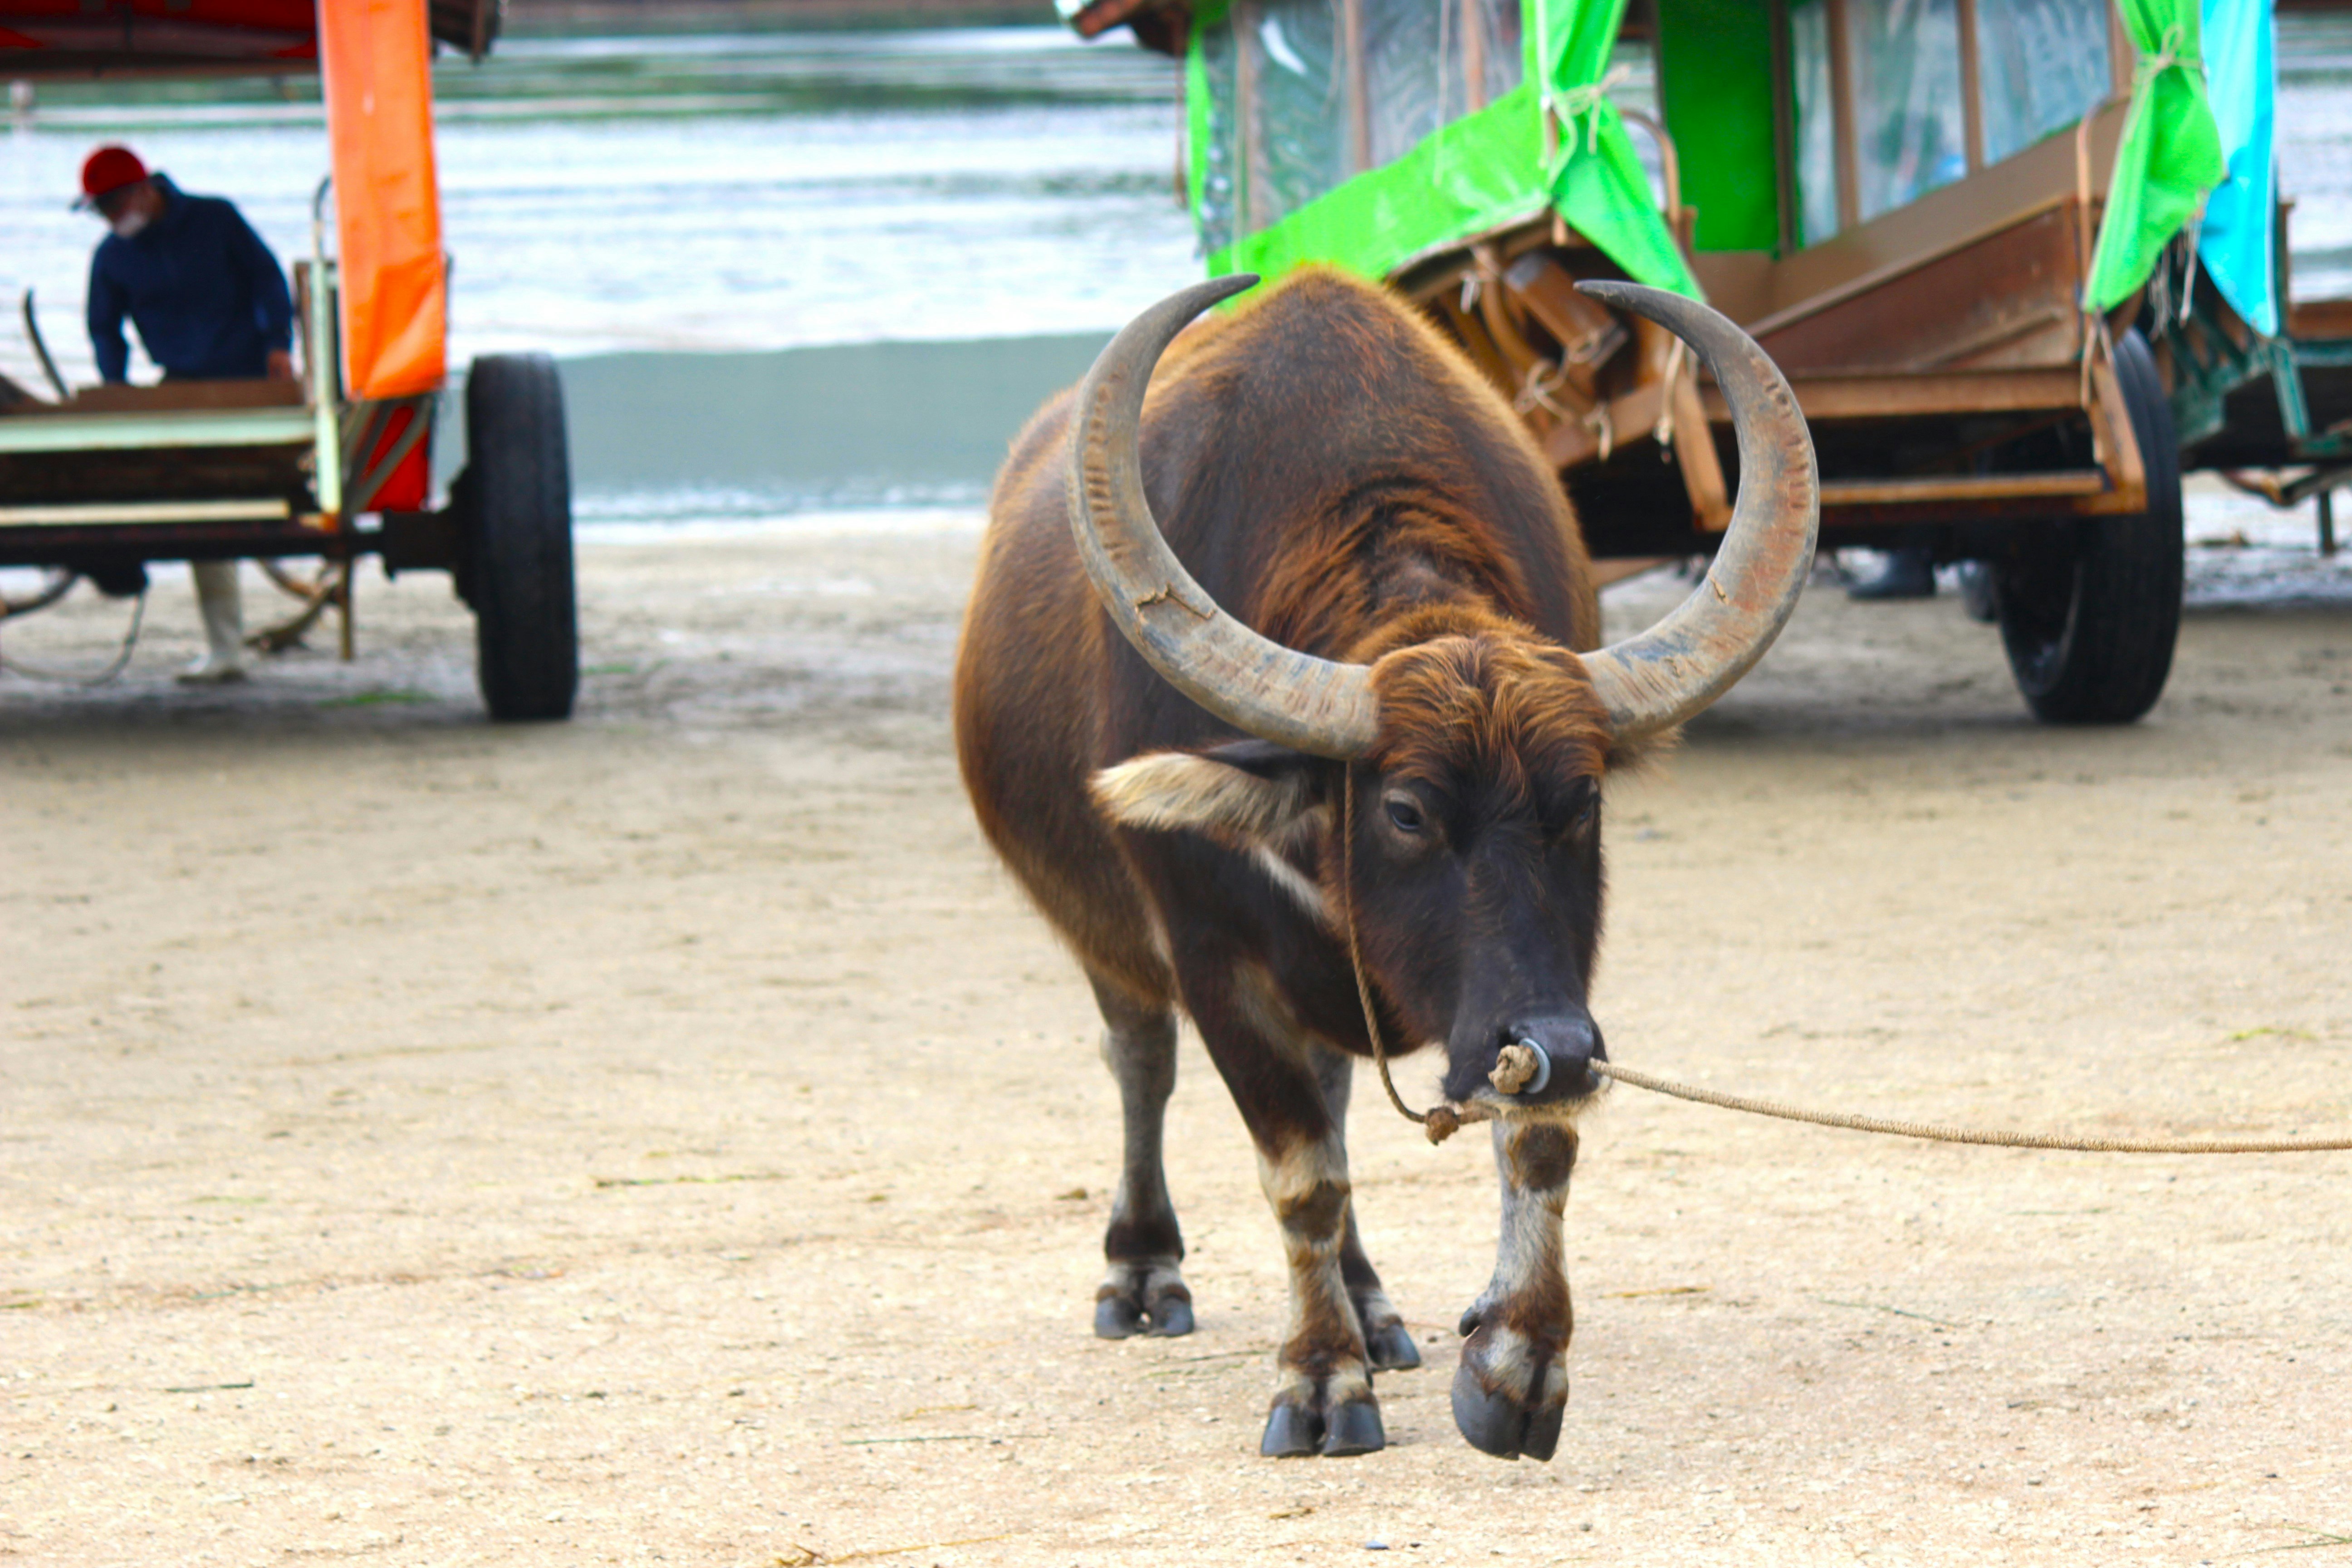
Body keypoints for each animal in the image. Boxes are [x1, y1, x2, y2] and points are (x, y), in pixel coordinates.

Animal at [952, 266, 1816, 1461]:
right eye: (1405, 810)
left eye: (1582, 801)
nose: (1558, 1047)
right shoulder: (1215, 958)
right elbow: (1300, 1173)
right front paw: (1320, 1380)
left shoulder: (1548, 977)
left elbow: (1531, 1143)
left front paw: (1515, 1362)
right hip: (1107, 936)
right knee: (1141, 1059)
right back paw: (1144, 1269)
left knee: (1333, 1085)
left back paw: (1367, 1301)